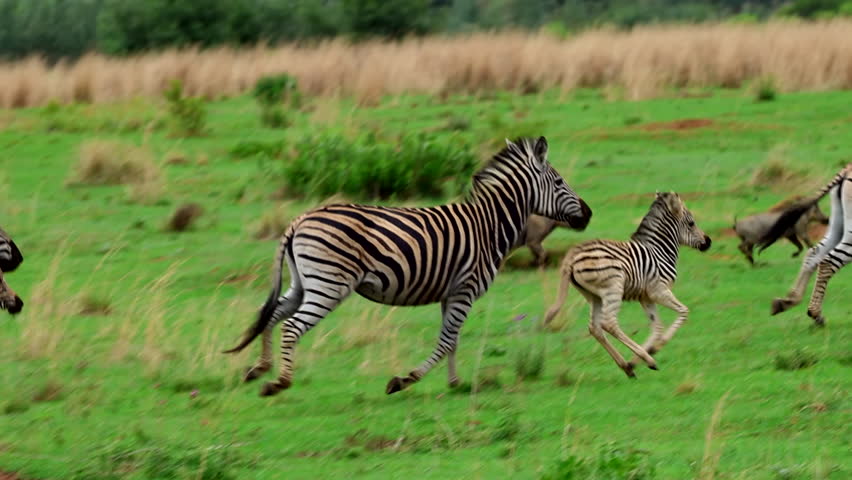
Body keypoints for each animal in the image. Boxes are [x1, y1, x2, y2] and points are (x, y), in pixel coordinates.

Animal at [224, 136, 593, 396]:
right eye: (559, 182)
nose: (589, 214)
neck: (490, 225)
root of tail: (299, 220)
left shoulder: (450, 292)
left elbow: (452, 340)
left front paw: (455, 383)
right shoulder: (466, 288)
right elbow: (445, 340)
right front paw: (405, 379)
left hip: (304, 281)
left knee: (272, 314)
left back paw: (260, 368)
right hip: (329, 284)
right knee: (291, 325)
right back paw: (279, 382)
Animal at [543, 192, 711, 378]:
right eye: (691, 223)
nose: (708, 242)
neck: (660, 251)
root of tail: (574, 252)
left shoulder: (646, 298)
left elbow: (657, 327)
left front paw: (643, 355)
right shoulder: (659, 291)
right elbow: (684, 311)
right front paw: (656, 348)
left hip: (594, 296)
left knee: (595, 328)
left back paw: (627, 366)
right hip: (613, 288)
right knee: (609, 323)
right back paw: (646, 361)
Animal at [759, 163, 852, 326]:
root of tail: (846, 170)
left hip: (838, 223)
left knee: (814, 253)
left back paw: (789, 301)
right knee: (828, 261)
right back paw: (815, 313)